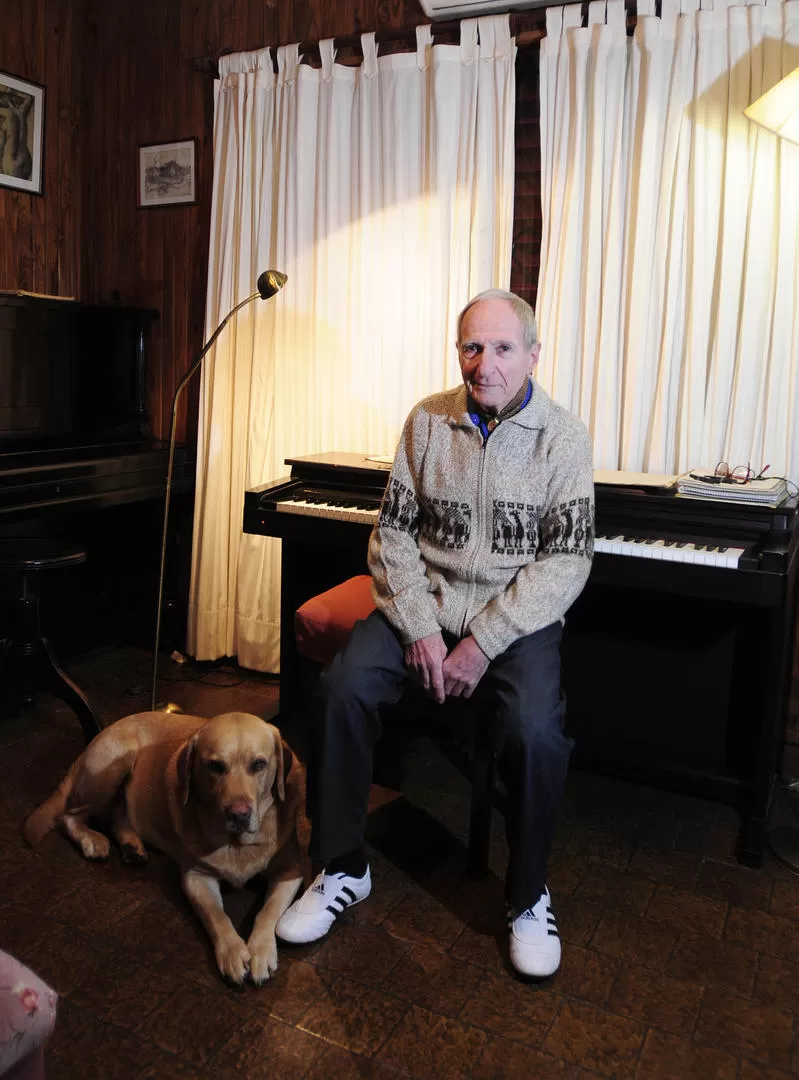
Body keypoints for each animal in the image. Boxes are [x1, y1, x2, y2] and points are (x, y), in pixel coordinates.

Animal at [23, 708, 306, 989]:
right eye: (215, 766)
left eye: (259, 764)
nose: (238, 814)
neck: (236, 844)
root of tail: (104, 731)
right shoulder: (195, 876)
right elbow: (216, 916)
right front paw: (233, 952)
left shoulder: (291, 871)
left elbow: (268, 911)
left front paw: (260, 951)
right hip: (112, 767)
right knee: (68, 816)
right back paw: (92, 840)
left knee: (116, 815)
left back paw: (131, 845)